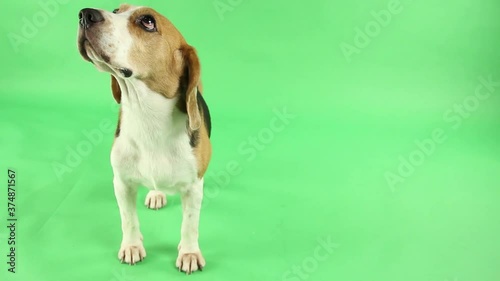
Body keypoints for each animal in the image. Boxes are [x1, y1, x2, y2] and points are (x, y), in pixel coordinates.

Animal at [76, 3, 213, 272]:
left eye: (148, 22)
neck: (147, 119)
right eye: (116, 10)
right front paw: (131, 246)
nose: (85, 14)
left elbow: (190, 224)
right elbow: (128, 219)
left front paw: (189, 252)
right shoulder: (121, 182)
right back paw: (156, 194)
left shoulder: (193, 188)